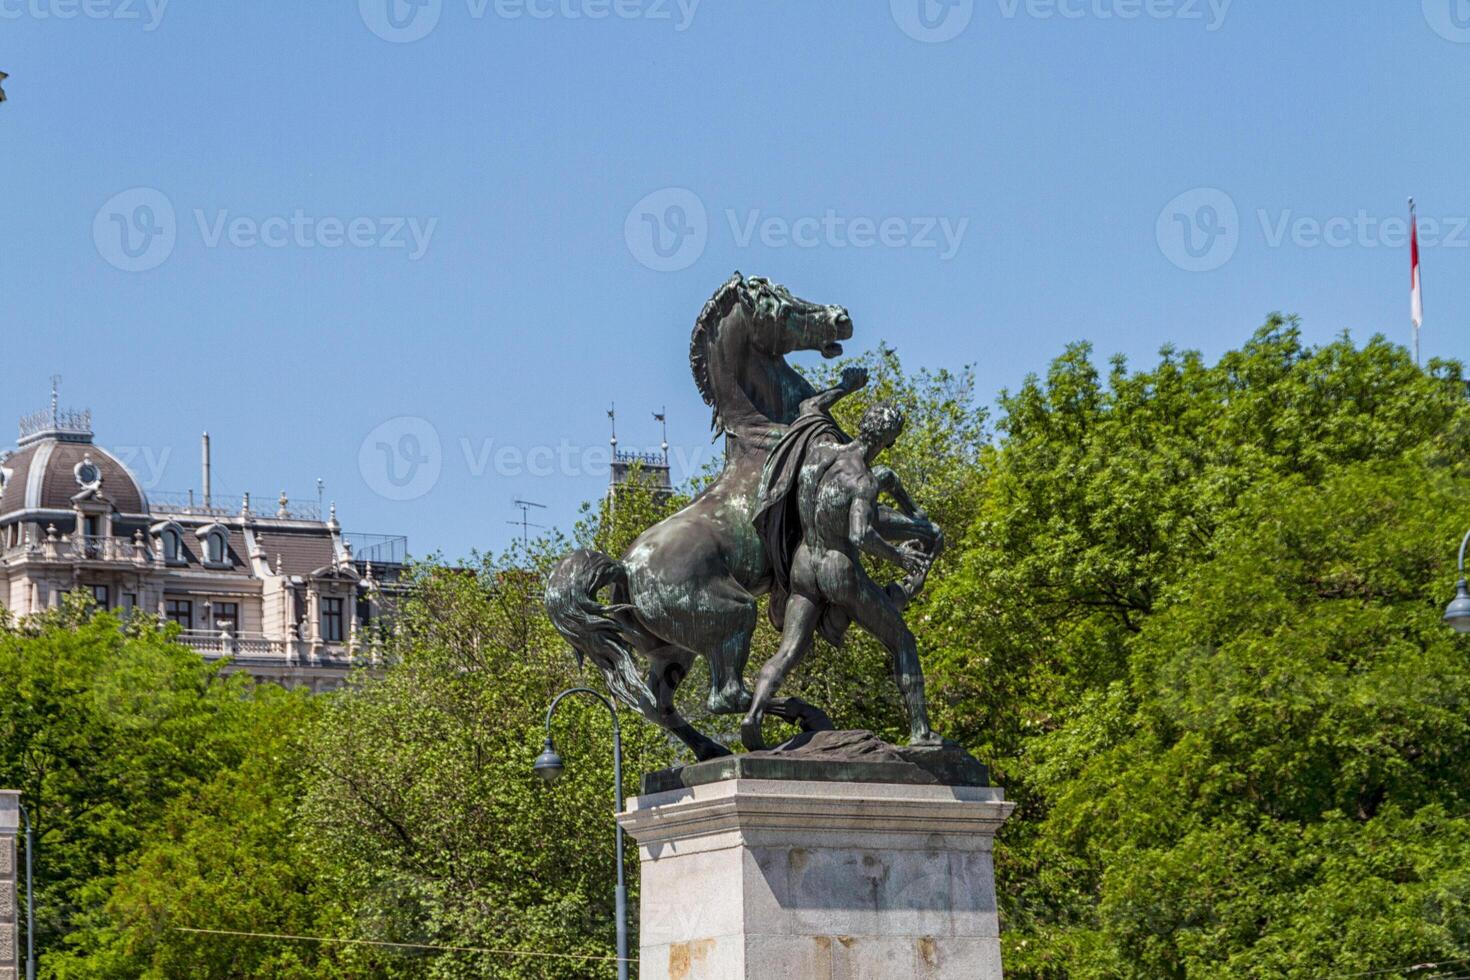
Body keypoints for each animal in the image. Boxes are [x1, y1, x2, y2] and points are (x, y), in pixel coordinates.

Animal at [549, 271, 852, 764]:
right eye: (781, 305)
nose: (840, 317)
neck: (762, 429)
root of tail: (625, 568)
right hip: (733, 613)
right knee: (725, 695)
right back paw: (797, 722)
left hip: (672, 649)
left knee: (660, 705)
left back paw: (713, 748)